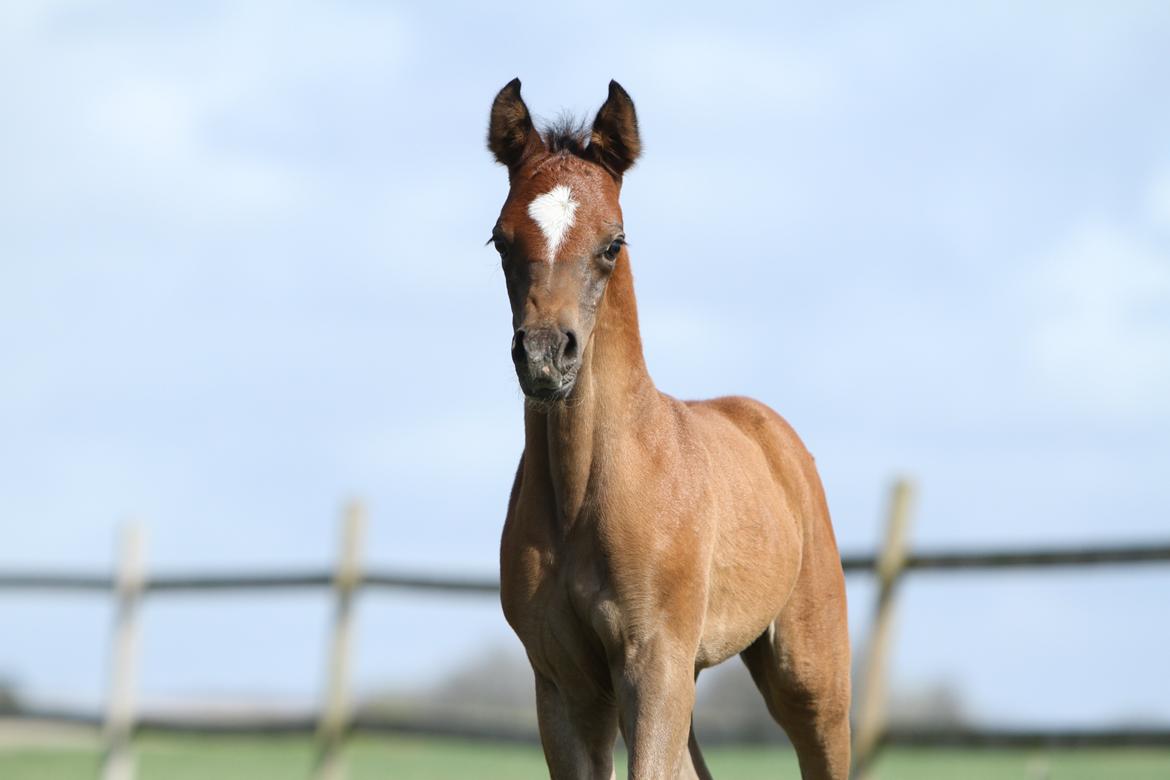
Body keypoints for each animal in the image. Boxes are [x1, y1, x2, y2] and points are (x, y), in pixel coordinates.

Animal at [484, 80, 851, 780]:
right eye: (500, 240)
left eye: (613, 242)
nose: (544, 357)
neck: (585, 489)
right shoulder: (563, 681)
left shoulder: (653, 663)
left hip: (810, 677)